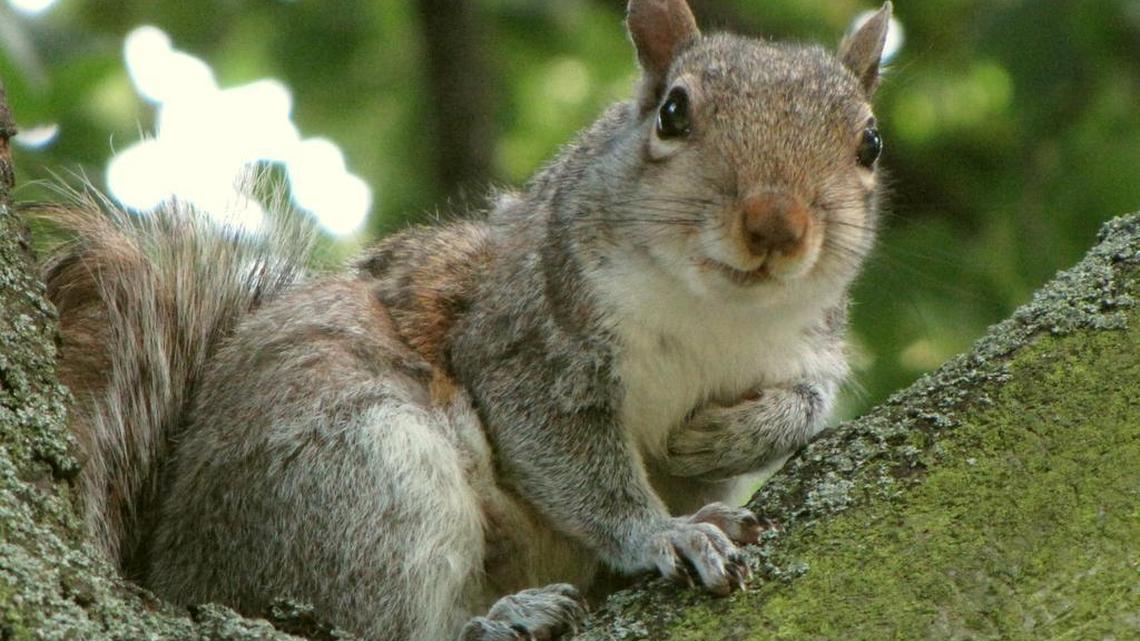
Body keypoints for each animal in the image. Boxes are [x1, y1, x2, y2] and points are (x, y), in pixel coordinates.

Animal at [38, 1, 891, 639]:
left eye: (870, 142)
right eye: (674, 112)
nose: (776, 224)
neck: (716, 311)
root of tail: (173, 571)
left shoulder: (808, 344)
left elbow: (805, 402)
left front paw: (725, 435)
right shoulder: (522, 336)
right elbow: (571, 459)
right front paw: (661, 533)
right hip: (355, 472)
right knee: (378, 616)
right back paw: (500, 619)